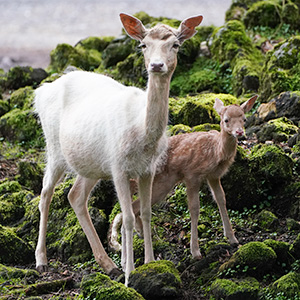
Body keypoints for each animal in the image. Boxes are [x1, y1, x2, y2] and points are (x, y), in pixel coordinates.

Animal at [34, 12, 203, 284]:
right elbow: (129, 219)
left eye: (175, 45)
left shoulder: (147, 169)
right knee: (45, 193)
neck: (142, 136)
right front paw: (130, 275)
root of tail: (40, 92)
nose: (156, 65)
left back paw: (108, 265)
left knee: (75, 196)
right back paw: (41, 261)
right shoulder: (119, 168)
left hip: (92, 165)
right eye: (143, 45)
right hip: (54, 148)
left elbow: (145, 212)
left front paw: (150, 264)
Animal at [111, 96, 256, 260]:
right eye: (226, 120)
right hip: (161, 183)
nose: (239, 132)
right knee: (130, 209)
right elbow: (194, 208)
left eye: (244, 119)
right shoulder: (191, 174)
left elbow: (221, 199)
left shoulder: (213, 176)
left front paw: (232, 238)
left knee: (130, 209)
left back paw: (140, 237)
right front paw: (195, 251)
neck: (216, 151)